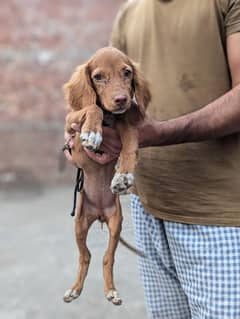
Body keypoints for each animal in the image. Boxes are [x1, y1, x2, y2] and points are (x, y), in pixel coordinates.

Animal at [62, 47, 151, 304]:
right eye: (98, 77)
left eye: (127, 73)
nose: (121, 99)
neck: (110, 118)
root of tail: (99, 214)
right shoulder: (71, 123)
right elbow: (91, 108)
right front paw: (93, 131)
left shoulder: (126, 124)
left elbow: (130, 140)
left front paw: (124, 176)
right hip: (80, 223)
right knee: (86, 256)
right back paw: (75, 289)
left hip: (116, 222)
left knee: (106, 257)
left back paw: (110, 290)